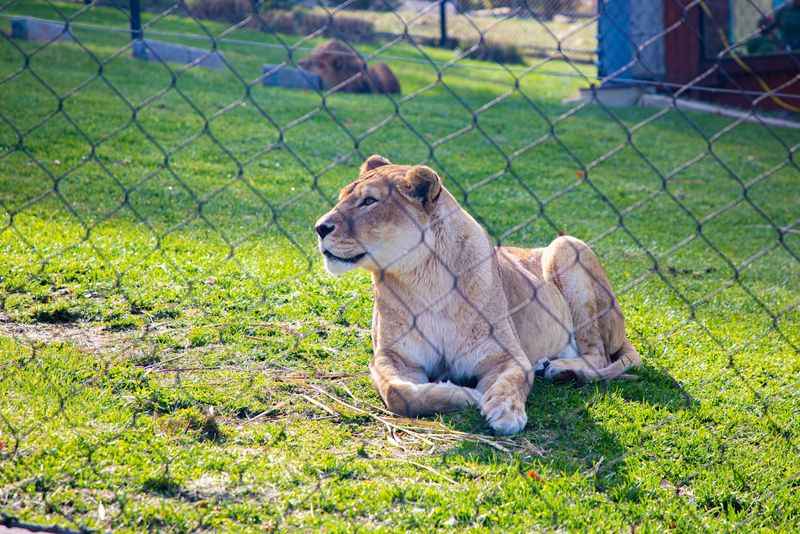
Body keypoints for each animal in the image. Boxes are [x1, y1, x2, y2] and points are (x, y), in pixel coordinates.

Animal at [316, 156, 640, 436]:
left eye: (369, 201)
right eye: (342, 196)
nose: (319, 227)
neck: (425, 282)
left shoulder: (508, 355)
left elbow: (512, 380)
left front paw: (506, 412)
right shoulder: (393, 356)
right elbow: (399, 393)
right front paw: (466, 394)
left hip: (566, 246)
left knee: (598, 355)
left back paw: (562, 370)